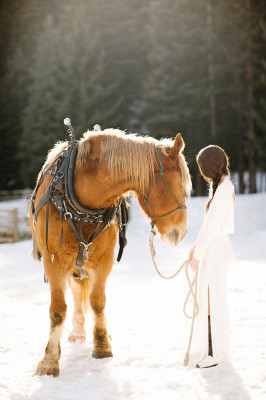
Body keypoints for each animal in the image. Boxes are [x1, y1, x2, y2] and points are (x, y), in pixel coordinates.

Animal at [29, 126, 191, 376]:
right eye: (181, 185)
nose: (179, 233)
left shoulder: (104, 261)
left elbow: (98, 302)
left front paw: (102, 345)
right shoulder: (54, 262)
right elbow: (57, 310)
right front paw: (49, 360)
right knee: (75, 292)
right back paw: (77, 331)